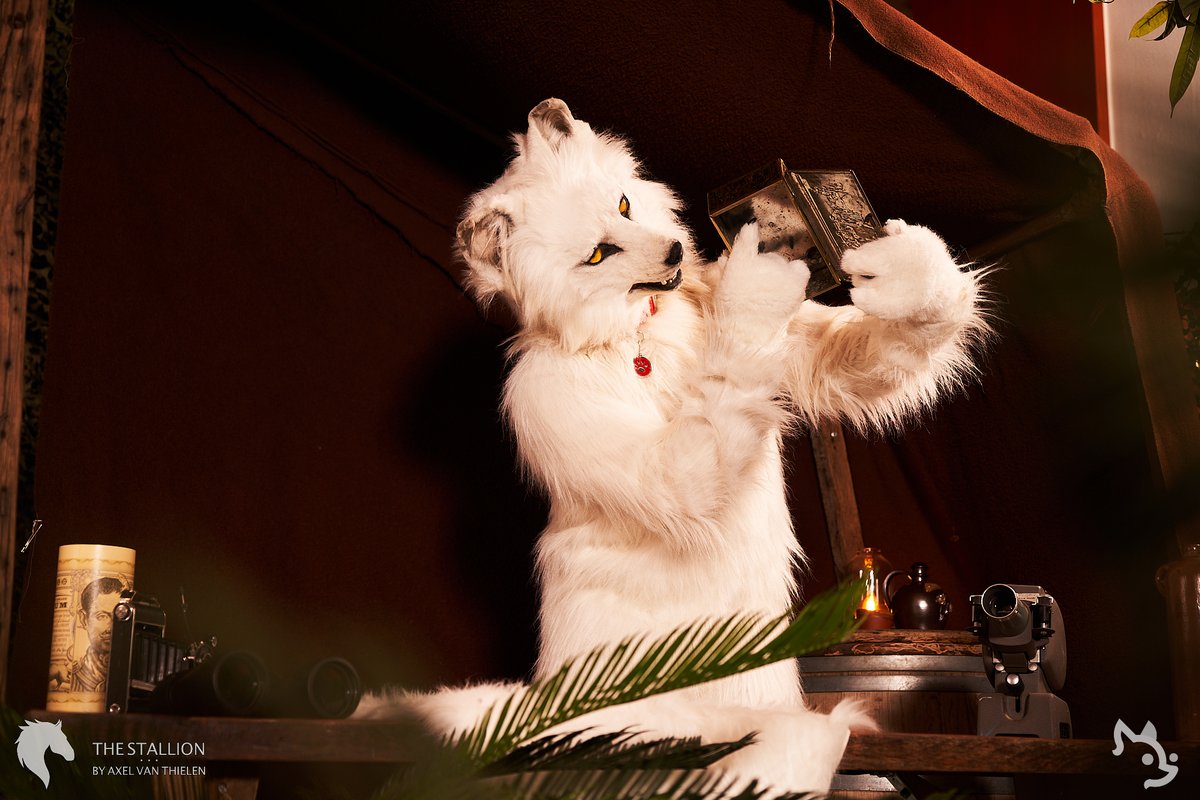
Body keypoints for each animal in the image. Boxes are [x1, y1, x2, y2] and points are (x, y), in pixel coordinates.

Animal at [358, 98, 988, 793]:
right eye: (599, 254)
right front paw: (756, 288)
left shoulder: (824, 359)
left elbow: (868, 351)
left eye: (625, 204)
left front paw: (903, 270)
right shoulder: (560, 409)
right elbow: (689, 466)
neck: (637, 336)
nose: (676, 250)